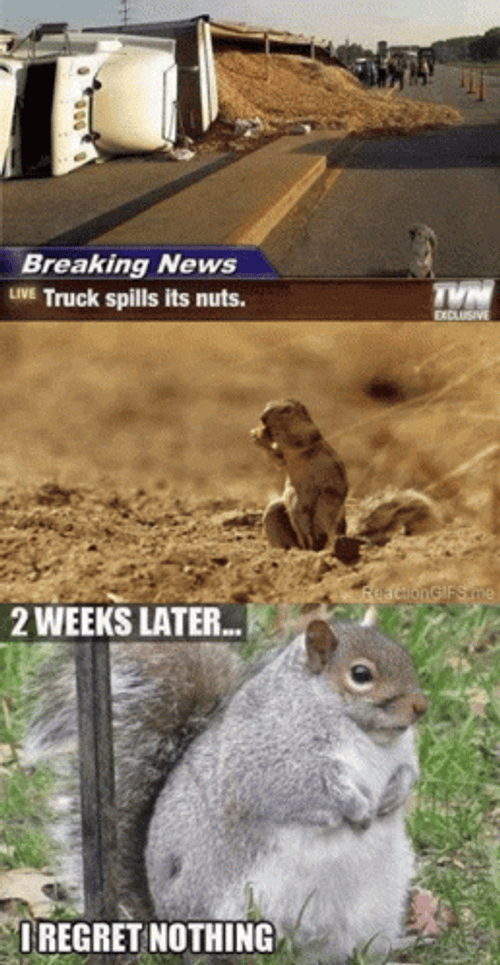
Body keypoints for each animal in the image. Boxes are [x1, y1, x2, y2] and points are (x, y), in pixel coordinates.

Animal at [24, 613, 427, 965]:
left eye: (406, 654)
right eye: (361, 674)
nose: (421, 706)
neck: (367, 735)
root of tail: (164, 927)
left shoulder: (402, 755)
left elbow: (407, 772)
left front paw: (393, 797)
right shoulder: (273, 763)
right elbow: (312, 791)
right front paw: (359, 810)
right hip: (236, 914)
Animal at [250, 399, 349, 551]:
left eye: (286, 410)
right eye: (267, 404)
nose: (262, 417)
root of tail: (307, 546)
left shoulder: (304, 437)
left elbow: (293, 440)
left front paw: (265, 432)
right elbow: (278, 459)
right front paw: (258, 435)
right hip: (274, 509)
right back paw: (292, 548)